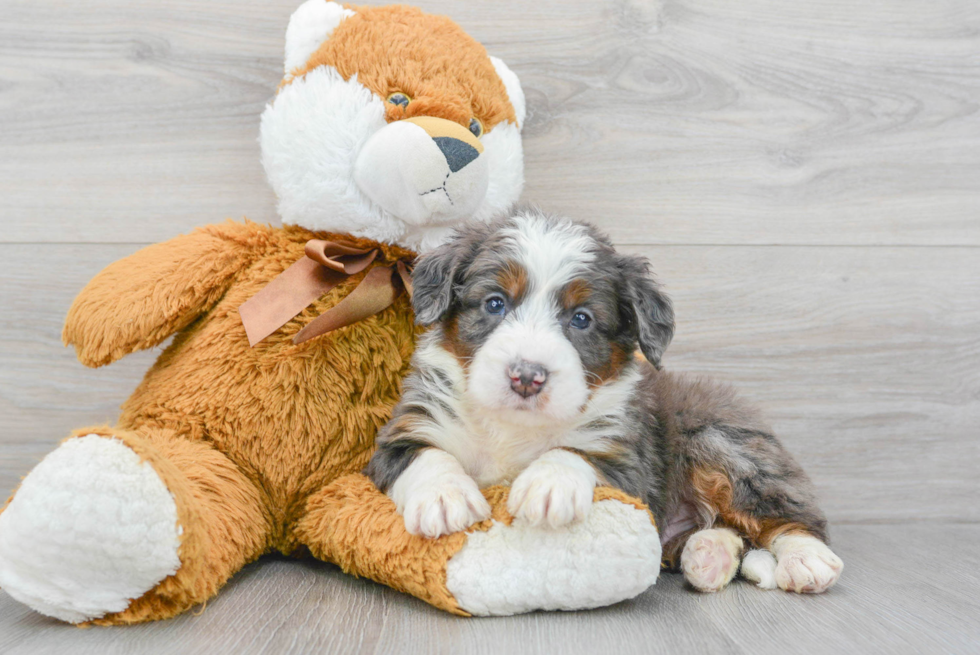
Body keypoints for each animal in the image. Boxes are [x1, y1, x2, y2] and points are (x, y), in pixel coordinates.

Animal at [366, 209, 844, 596]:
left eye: (581, 319)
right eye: (495, 303)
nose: (527, 376)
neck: (515, 428)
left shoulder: (629, 459)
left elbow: (575, 452)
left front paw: (548, 485)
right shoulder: (403, 432)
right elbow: (427, 456)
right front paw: (444, 496)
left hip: (723, 444)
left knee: (790, 516)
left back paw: (805, 559)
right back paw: (709, 555)